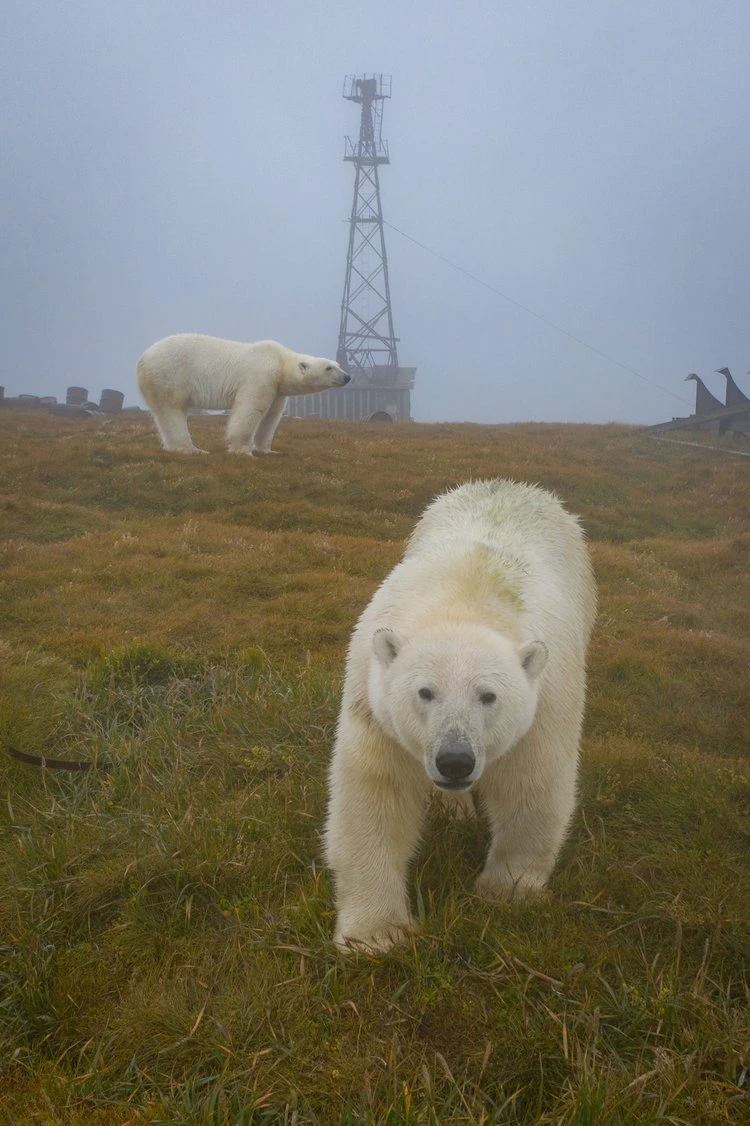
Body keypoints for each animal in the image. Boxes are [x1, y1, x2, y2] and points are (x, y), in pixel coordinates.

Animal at [135, 333, 351, 452]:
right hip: (169, 374)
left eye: (338, 365)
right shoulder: (261, 374)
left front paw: (266, 449)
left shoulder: (277, 389)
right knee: (172, 411)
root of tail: (142, 359)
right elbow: (251, 408)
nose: (347, 377)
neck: (280, 360)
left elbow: (271, 416)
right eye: (329, 368)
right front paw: (243, 450)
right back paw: (191, 449)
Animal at [324, 475, 594, 950]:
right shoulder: (374, 705)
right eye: (425, 692)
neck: (465, 598)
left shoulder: (547, 699)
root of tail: (510, 484)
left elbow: (532, 783)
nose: (455, 761)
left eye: (488, 696)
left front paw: (505, 892)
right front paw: (376, 935)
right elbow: (376, 793)